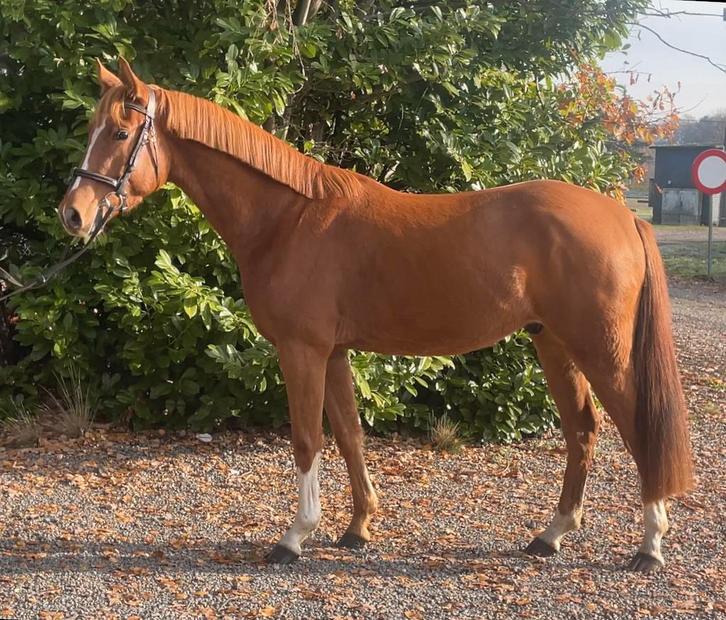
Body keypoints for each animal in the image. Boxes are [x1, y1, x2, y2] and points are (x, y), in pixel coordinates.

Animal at [57, 59, 693, 572]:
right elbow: (349, 435)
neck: (288, 218)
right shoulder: (335, 352)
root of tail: (622, 216)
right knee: (582, 430)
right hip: (553, 343)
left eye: (120, 132)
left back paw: (649, 546)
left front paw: (295, 537)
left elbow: (307, 439)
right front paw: (358, 528)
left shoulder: (303, 351)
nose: (73, 214)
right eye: (89, 131)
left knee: (638, 428)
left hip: (601, 351)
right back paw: (552, 535)